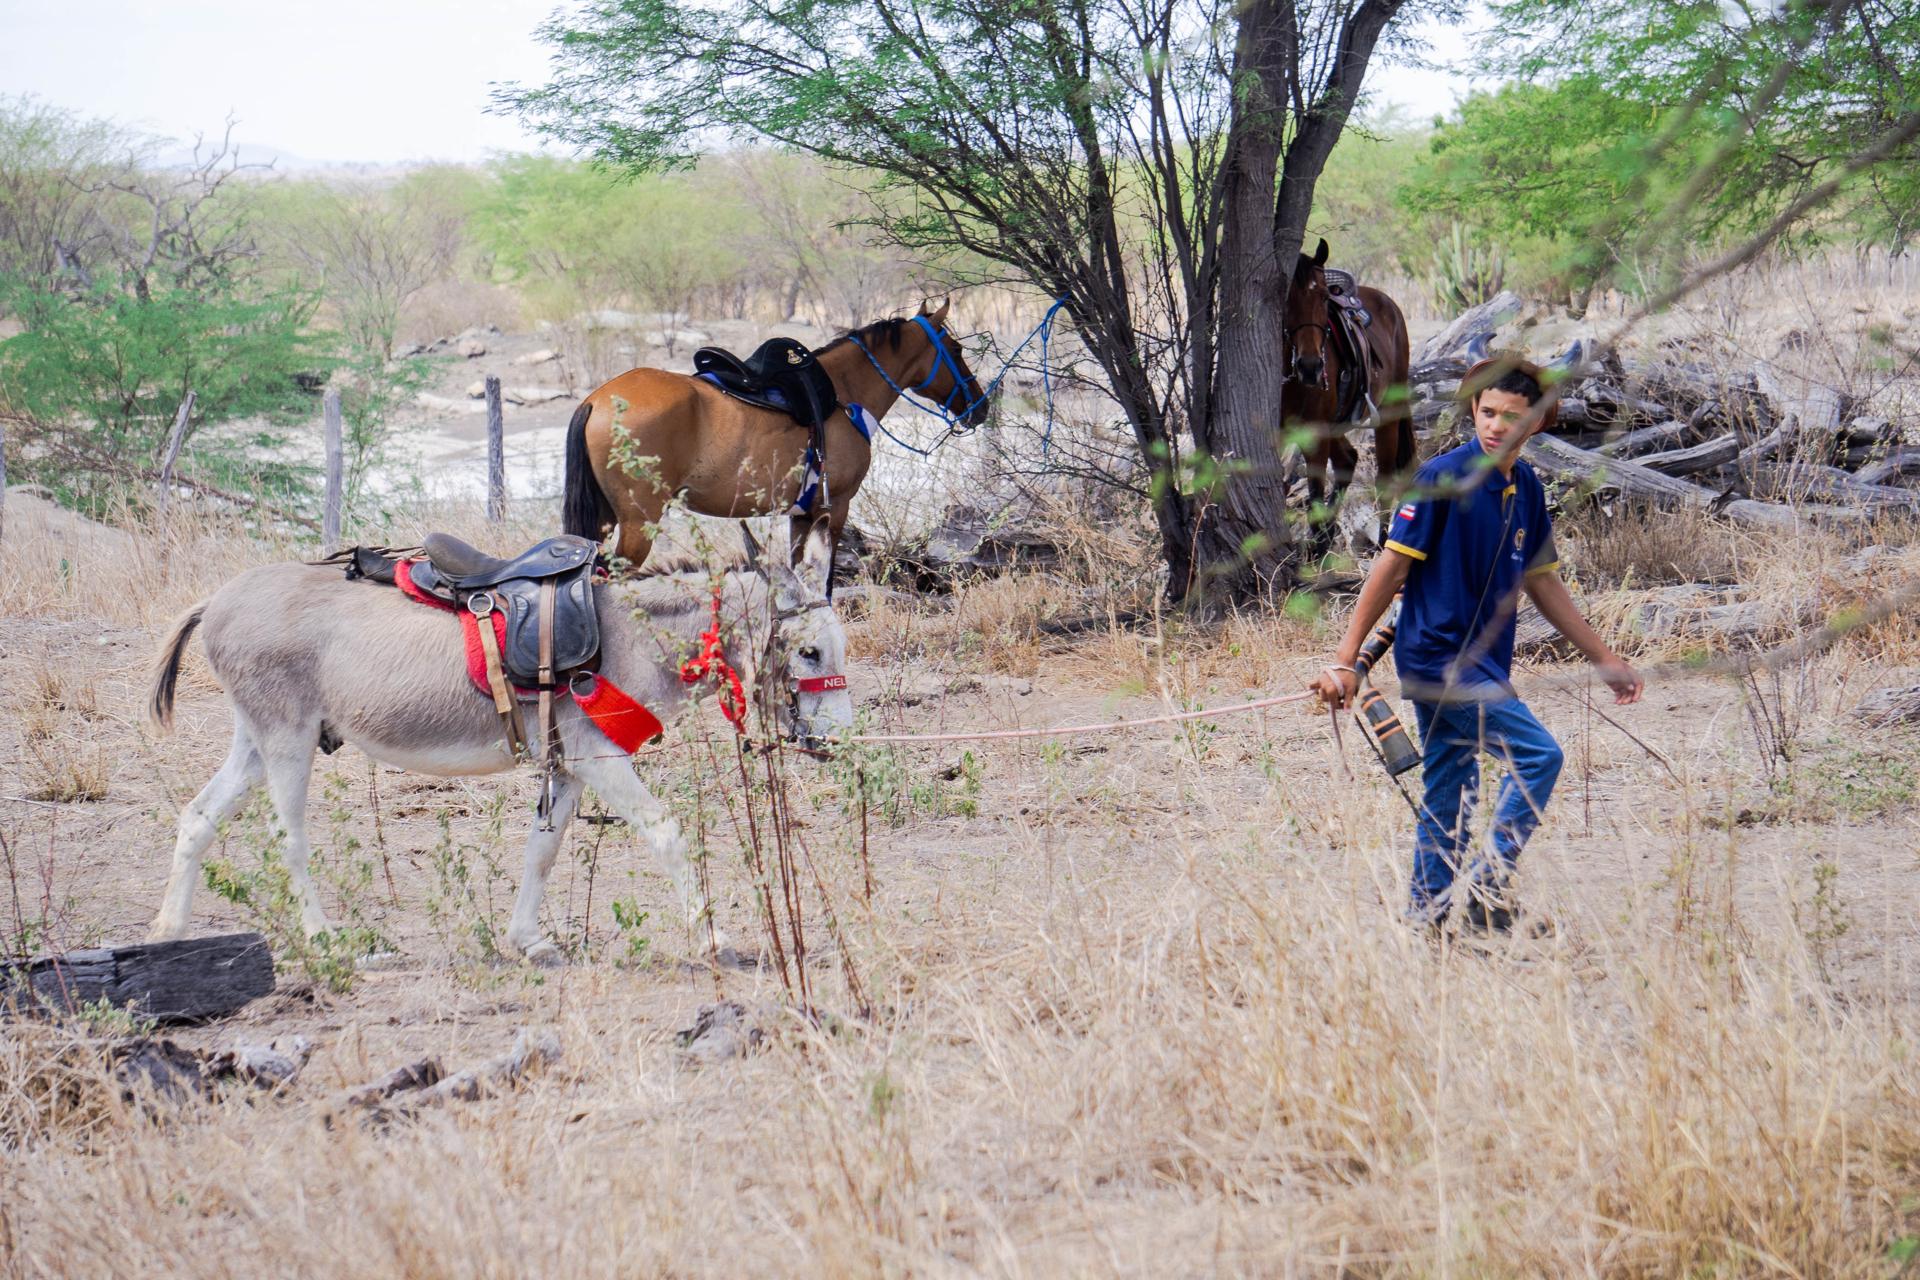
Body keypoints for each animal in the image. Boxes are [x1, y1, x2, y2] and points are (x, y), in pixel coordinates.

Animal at [142, 525, 852, 966]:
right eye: (809, 652)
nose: (837, 742)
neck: (628, 635)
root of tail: (217, 600)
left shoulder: (570, 766)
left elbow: (542, 850)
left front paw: (527, 940)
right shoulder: (600, 759)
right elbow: (667, 832)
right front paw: (711, 937)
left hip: (256, 740)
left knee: (198, 817)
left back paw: (169, 932)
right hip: (287, 740)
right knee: (288, 838)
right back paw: (323, 940)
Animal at [562, 299, 989, 572]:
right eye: (955, 349)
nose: (979, 405)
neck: (841, 394)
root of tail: (596, 400)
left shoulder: (801, 516)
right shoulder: (835, 510)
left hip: (606, 521)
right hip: (639, 524)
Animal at [1284, 238, 1415, 554]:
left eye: (1322, 298)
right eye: (1287, 298)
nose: (1311, 366)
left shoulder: (1314, 433)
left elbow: (1315, 492)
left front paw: (1318, 549)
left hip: (1387, 415)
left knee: (1383, 478)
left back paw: (1381, 540)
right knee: (1348, 459)